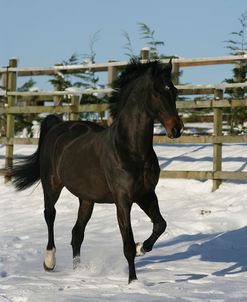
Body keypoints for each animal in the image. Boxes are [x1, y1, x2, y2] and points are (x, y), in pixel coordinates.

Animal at [11, 59, 183, 284]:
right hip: (51, 185)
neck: (131, 150)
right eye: (156, 92)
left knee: (77, 234)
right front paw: (133, 281)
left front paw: (141, 249)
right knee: (50, 215)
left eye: (174, 90)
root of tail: (58, 126)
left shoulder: (146, 194)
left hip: (87, 199)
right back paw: (49, 262)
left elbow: (160, 225)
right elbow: (127, 244)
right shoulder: (123, 200)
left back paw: (78, 272)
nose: (177, 129)